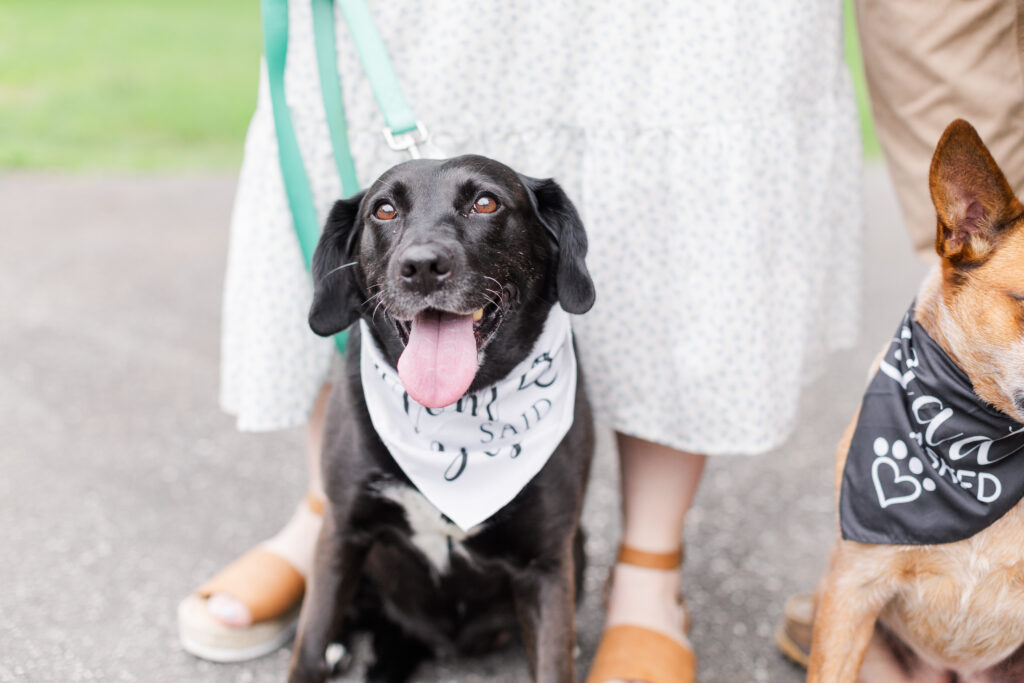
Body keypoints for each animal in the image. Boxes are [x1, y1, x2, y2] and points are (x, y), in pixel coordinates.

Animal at [284, 156, 598, 683]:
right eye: (384, 209)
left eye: (486, 202)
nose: (423, 267)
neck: (454, 417)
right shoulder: (343, 532)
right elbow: (309, 647)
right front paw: (317, 651)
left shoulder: (547, 565)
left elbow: (554, 663)